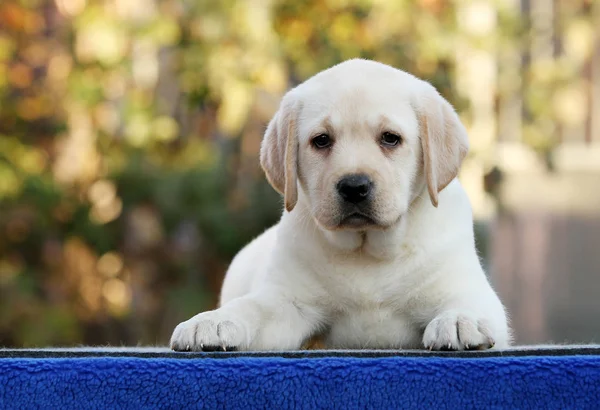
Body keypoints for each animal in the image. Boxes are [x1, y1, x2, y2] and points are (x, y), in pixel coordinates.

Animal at [170, 58, 510, 352]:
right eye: (321, 140)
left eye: (390, 138)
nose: (354, 186)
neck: (366, 252)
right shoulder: (287, 301)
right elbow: (252, 306)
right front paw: (213, 321)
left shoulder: (462, 286)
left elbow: (469, 302)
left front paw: (461, 320)